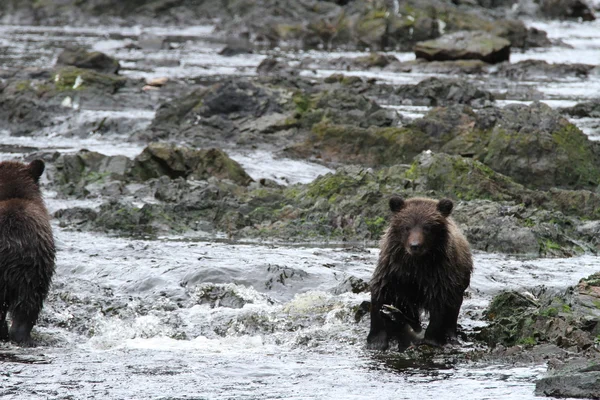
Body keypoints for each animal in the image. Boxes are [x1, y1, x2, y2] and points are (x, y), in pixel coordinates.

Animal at [366, 196, 474, 350]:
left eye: (427, 227)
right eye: (406, 227)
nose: (415, 246)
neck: (416, 265)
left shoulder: (439, 275)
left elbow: (440, 306)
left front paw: (431, 339)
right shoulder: (393, 272)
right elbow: (380, 294)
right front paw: (376, 340)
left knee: (453, 311)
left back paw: (451, 336)